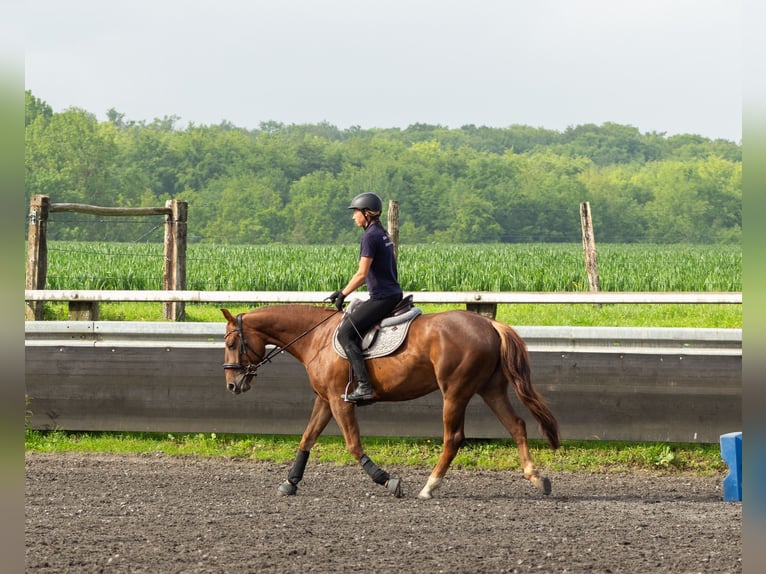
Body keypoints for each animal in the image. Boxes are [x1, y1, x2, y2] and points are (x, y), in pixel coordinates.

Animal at [221, 303, 560, 500]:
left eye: (232, 342)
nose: (232, 384)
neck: (317, 336)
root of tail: (489, 324)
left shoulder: (340, 402)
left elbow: (353, 445)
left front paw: (387, 480)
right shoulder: (325, 399)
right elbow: (307, 438)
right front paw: (290, 482)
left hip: (455, 392)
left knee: (453, 437)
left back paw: (429, 486)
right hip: (491, 389)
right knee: (516, 426)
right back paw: (536, 478)